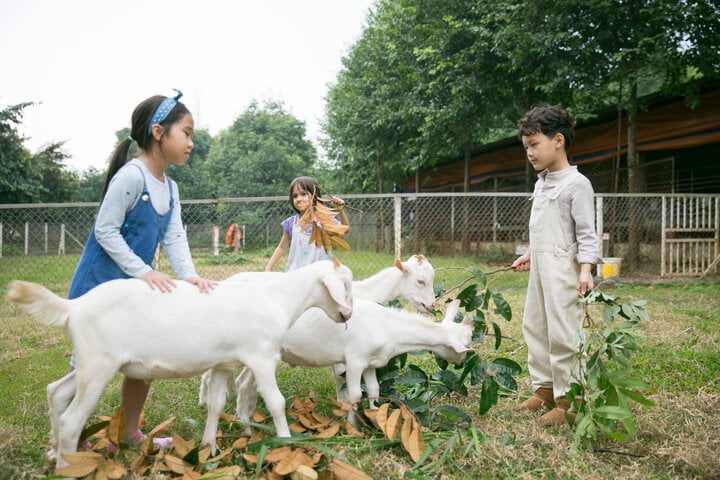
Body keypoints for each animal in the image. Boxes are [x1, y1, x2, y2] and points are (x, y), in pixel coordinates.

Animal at [4, 258, 354, 468]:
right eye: (345, 285)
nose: (348, 314)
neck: (276, 299)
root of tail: (73, 306)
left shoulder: (223, 364)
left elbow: (215, 404)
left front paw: (209, 448)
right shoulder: (262, 358)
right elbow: (277, 402)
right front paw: (286, 442)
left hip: (89, 363)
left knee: (56, 392)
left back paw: (55, 451)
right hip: (98, 366)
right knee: (71, 420)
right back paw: (67, 467)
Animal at [226, 300, 472, 428]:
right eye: (467, 342)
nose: (461, 363)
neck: (388, 327)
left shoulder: (371, 362)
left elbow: (373, 389)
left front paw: (375, 416)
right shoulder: (354, 359)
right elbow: (354, 395)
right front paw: (353, 425)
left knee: (244, 383)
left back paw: (246, 421)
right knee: (245, 384)